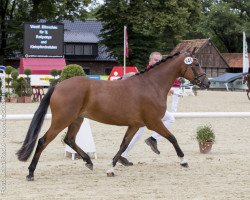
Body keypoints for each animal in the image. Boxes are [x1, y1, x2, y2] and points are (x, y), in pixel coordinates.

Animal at [16, 50, 210, 181]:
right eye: (196, 64)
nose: (207, 82)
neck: (151, 85)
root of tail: (58, 86)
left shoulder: (135, 125)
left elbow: (123, 145)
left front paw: (111, 168)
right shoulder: (154, 122)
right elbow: (172, 138)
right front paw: (183, 161)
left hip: (77, 119)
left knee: (69, 139)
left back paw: (88, 161)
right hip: (62, 120)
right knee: (43, 141)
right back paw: (31, 172)